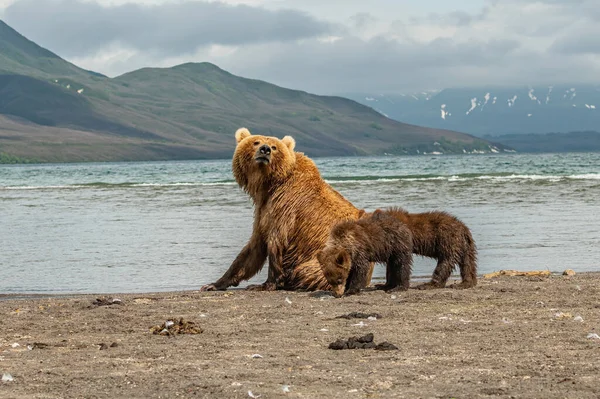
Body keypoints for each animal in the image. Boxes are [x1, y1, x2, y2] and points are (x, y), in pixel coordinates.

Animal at [200, 130, 366, 292]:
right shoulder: (262, 211)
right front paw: (214, 284)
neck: (269, 185)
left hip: (327, 259)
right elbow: (253, 248)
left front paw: (265, 284)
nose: (265, 149)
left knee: (305, 271)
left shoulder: (284, 206)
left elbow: (276, 243)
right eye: (256, 142)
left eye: (274, 147)